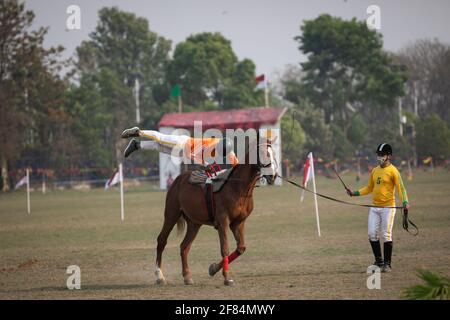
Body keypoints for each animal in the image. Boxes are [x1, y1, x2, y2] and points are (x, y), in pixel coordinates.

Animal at [154, 140, 278, 284]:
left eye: (273, 153)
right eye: (263, 153)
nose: (273, 175)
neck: (238, 188)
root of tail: (178, 179)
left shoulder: (238, 223)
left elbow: (241, 248)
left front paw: (213, 269)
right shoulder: (223, 222)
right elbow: (225, 248)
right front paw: (227, 277)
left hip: (194, 223)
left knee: (184, 246)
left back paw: (187, 276)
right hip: (171, 214)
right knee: (162, 240)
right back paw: (159, 276)